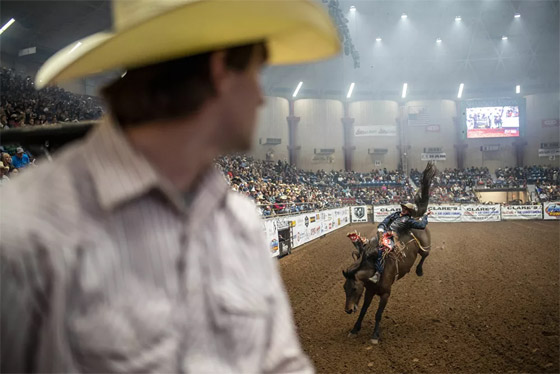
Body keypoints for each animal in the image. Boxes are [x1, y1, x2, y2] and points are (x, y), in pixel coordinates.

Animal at [342, 162, 438, 344]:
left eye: (354, 288)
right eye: (344, 288)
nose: (348, 310)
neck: (374, 269)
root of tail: (417, 218)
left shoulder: (386, 294)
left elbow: (378, 314)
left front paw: (375, 335)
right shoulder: (370, 291)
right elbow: (364, 310)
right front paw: (355, 329)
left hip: (426, 245)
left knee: (425, 255)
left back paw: (419, 270)